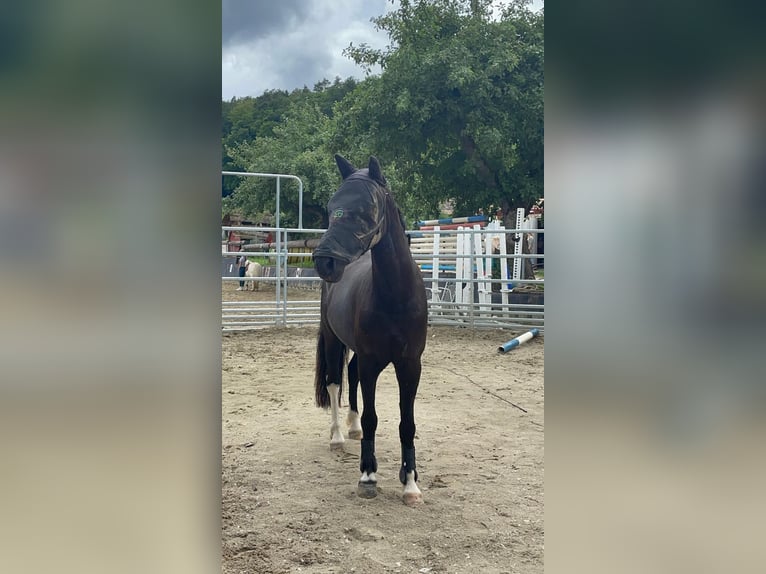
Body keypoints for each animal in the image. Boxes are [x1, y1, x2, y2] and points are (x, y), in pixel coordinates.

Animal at [313, 155, 428, 506]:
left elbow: (407, 423)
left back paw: (351, 429)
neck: (395, 297)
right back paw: (338, 436)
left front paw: (410, 483)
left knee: (349, 376)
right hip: (333, 340)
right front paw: (368, 475)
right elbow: (372, 417)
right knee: (335, 381)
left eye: (367, 208)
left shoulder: (410, 365)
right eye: (331, 206)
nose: (324, 262)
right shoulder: (371, 362)